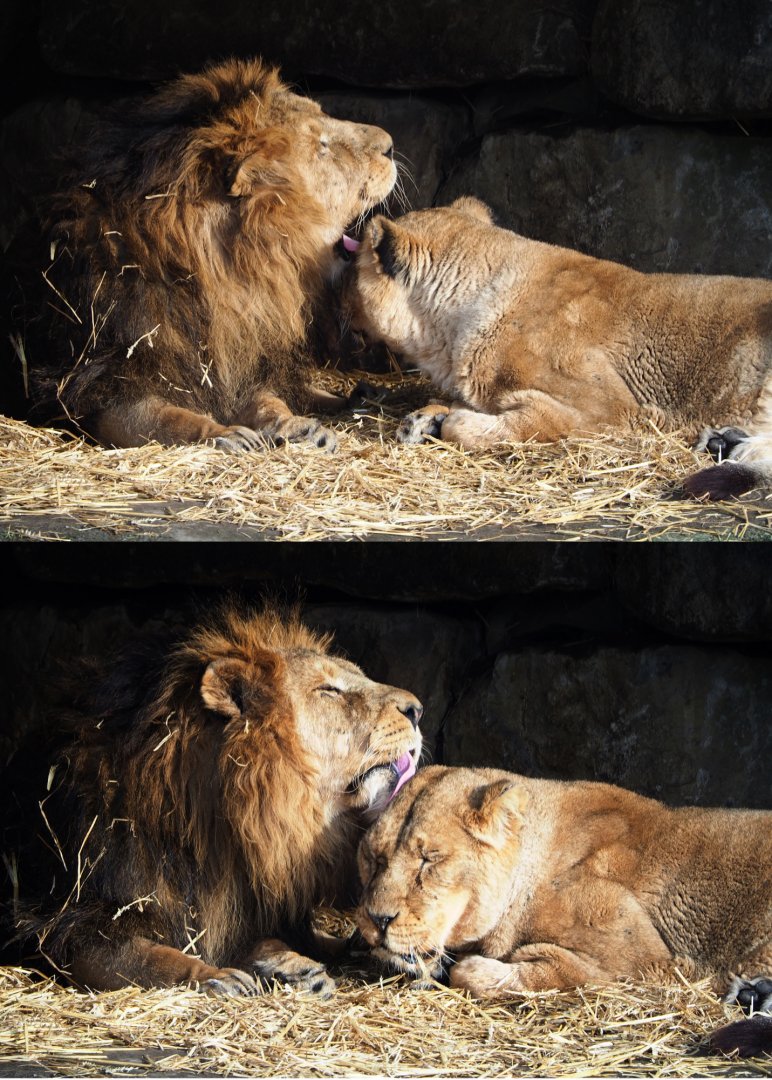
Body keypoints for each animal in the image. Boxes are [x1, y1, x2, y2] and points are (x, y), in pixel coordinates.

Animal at [0, 604, 422, 996]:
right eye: (329, 691)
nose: (417, 710)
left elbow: (266, 938)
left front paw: (294, 964)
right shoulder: (68, 923)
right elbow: (145, 957)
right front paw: (214, 977)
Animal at [7, 58, 397, 451]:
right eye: (322, 146)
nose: (391, 145)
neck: (227, 282)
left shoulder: (241, 359)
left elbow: (267, 400)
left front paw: (297, 425)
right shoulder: (91, 388)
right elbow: (160, 418)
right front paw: (223, 434)